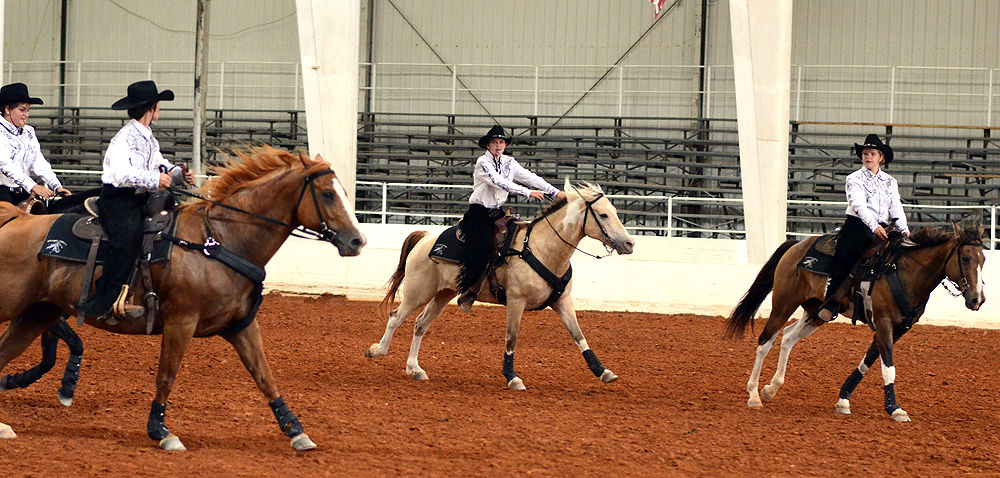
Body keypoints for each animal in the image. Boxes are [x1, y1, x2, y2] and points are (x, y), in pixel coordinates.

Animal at [0, 147, 368, 452]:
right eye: (327, 194)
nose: (357, 241)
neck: (219, 239)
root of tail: (18, 219)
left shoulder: (241, 326)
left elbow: (264, 376)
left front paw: (296, 430)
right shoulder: (181, 321)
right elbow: (167, 375)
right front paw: (161, 431)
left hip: (37, 314)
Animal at [366, 181, 632, 390]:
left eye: (614, 211)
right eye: (603, 215)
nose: (629, 243)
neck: (540, 248)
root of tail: (426, 239)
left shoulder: (562, 301)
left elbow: (579, 336)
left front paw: (603, 371)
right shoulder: (516, 301)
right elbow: (511, 338)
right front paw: (512, 377)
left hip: (443, 293)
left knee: (420, 324)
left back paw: (415, 369)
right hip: (418, 292)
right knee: (395, 316)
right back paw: (377, 351)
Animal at [728, 224, 984, 422]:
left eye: (983, 260)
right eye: (965, 258)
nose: (977, 299)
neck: (904, 273)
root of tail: (796, 246)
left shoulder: (900, 328)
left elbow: (869, 360)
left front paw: (843, 400)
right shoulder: (883, 321)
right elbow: (888, 366)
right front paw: (895, 408)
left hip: (817, 311)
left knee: (789, 337)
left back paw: (771, 389)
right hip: (784, 304)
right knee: (765, 342)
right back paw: (754, 395)